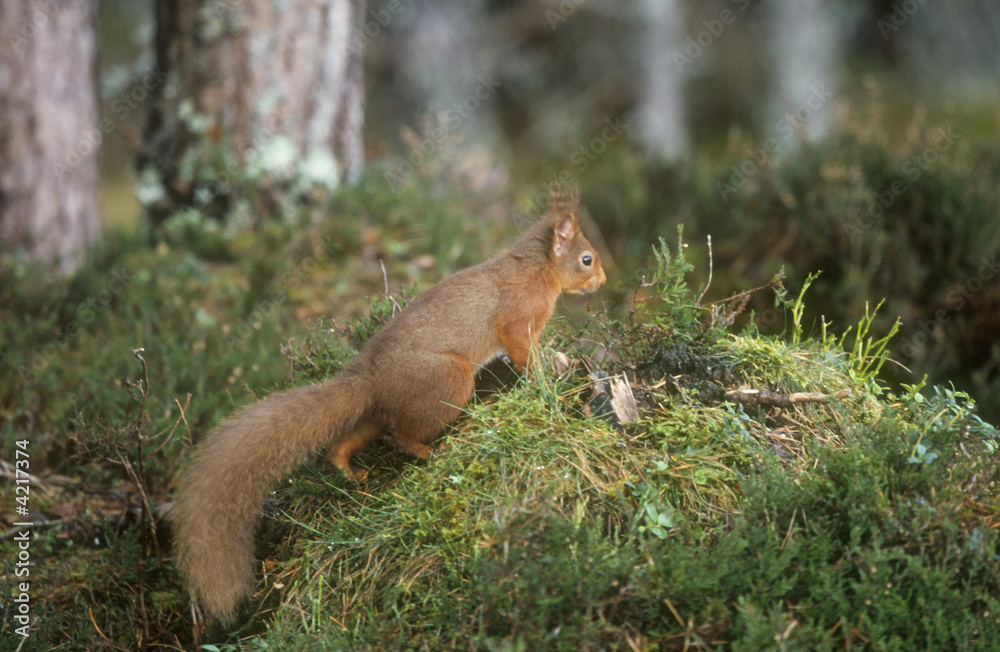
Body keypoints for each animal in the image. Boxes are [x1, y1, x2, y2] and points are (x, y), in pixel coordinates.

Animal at [169, 182, 604, 620]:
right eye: (586, 259)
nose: (602, 280)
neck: (536, 268)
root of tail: (371, 378)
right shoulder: (517, 321)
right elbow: (522, 354)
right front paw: (543, 378)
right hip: (449, 383)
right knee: (402, 436)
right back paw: (429, 452)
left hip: (376, 413)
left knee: (349, 439)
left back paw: (349, 472)